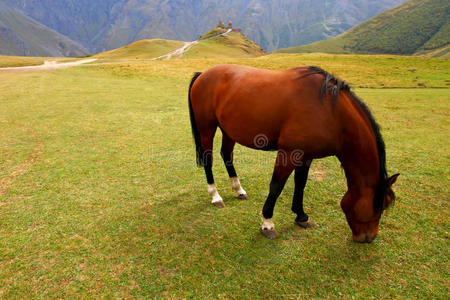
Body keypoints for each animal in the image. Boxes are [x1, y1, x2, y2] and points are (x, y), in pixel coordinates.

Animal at [188, 64, 400, 243]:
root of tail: (203, 74)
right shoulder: (288, 153)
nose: (369, 237)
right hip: (207, 127)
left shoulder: (306, 156)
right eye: (381, 205)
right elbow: (276, 186)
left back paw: (239, 189)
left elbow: (300, 184)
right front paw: (267, 224)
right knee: (208, 159)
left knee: (226, 155)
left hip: (229, 130)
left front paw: (301, 216)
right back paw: (216, 196)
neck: (328, 109)